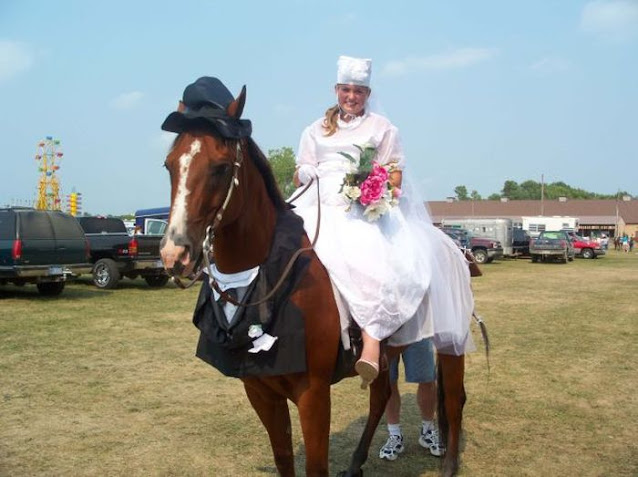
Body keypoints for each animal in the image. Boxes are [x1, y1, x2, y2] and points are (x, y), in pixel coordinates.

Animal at [159, 80, 470, 474]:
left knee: (454, 399)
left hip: (450, 341)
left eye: (220, 167)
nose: (175, 254)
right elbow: (284, 459)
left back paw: (449, 463)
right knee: (382, 396)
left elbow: (315, 466)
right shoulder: (260, 391)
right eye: (170, 165)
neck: (266, 275)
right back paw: (356, 463)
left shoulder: (313, 393)